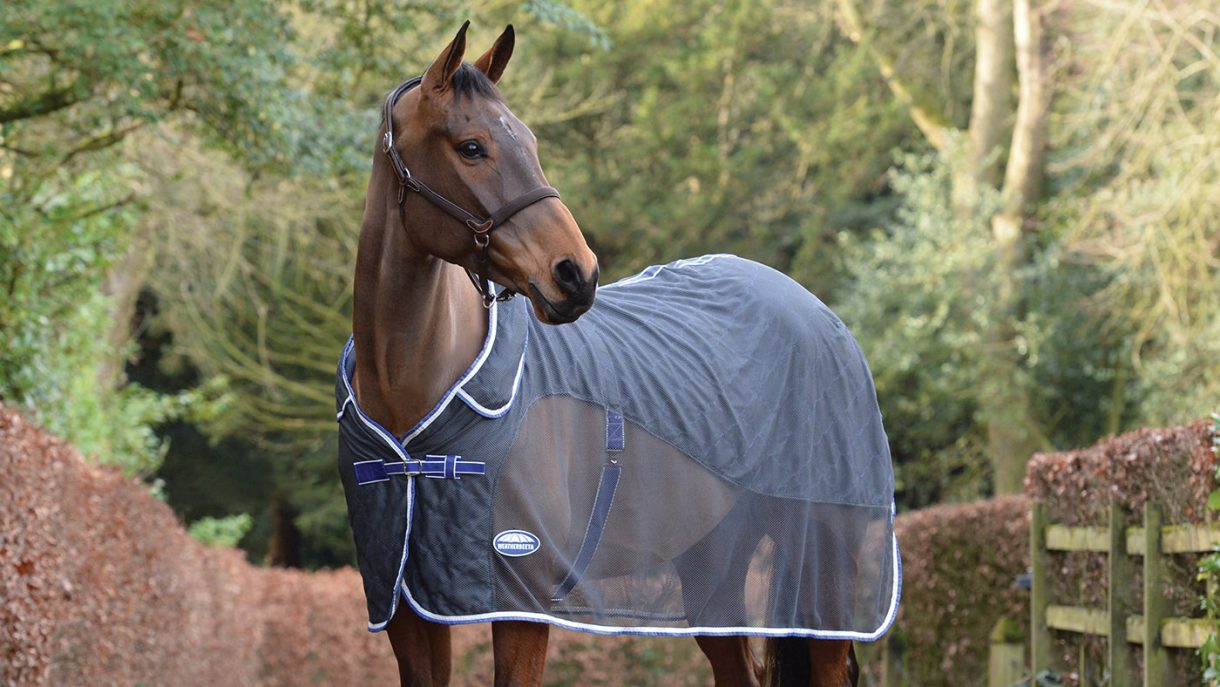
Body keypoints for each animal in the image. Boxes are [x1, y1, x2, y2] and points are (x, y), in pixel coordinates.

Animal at [341, 21, 896, 687]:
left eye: (529, 139)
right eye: (471, 147)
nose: (576, 275)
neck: (414, 396)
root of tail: (821, 315)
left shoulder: (523, 602)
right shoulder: (407, 606)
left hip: (825, 567)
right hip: (712, 571)